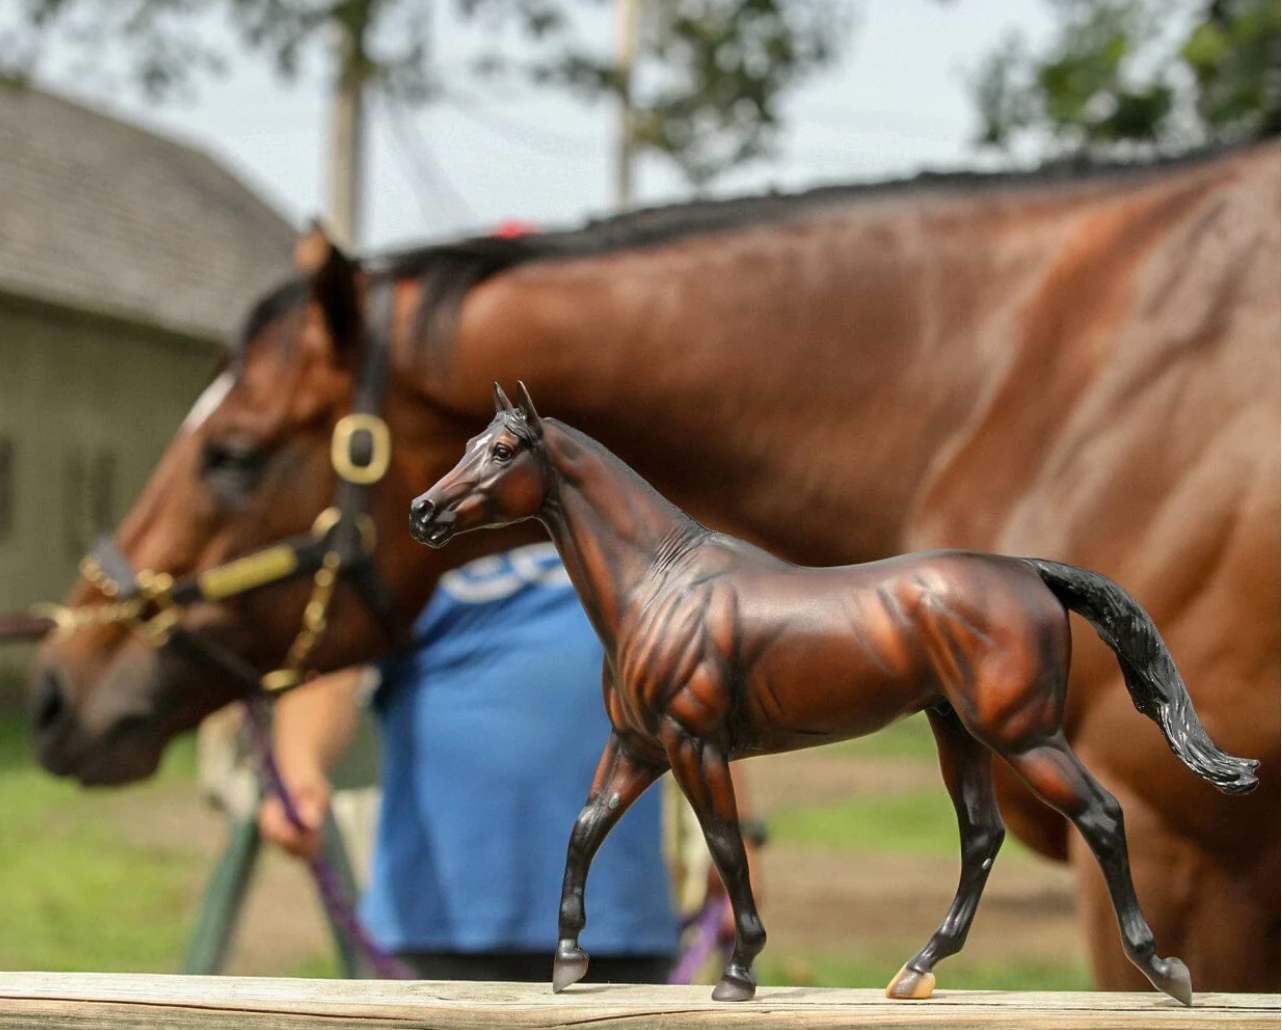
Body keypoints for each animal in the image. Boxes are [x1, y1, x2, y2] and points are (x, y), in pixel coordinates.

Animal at [407, 382, 1261, 1005]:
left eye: (502, 449)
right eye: (468, 445)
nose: (423, 511)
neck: (662, 583)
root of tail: (1029, 570)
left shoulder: (693, 744)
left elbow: (726, 847)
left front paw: (739, 971)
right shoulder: (639, 745)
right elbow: (584, 829)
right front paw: (567, 960)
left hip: (1024, 736)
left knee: (1102, 817)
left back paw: (1165, 972)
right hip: (959, 733)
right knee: (981, 838)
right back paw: (917, 970)